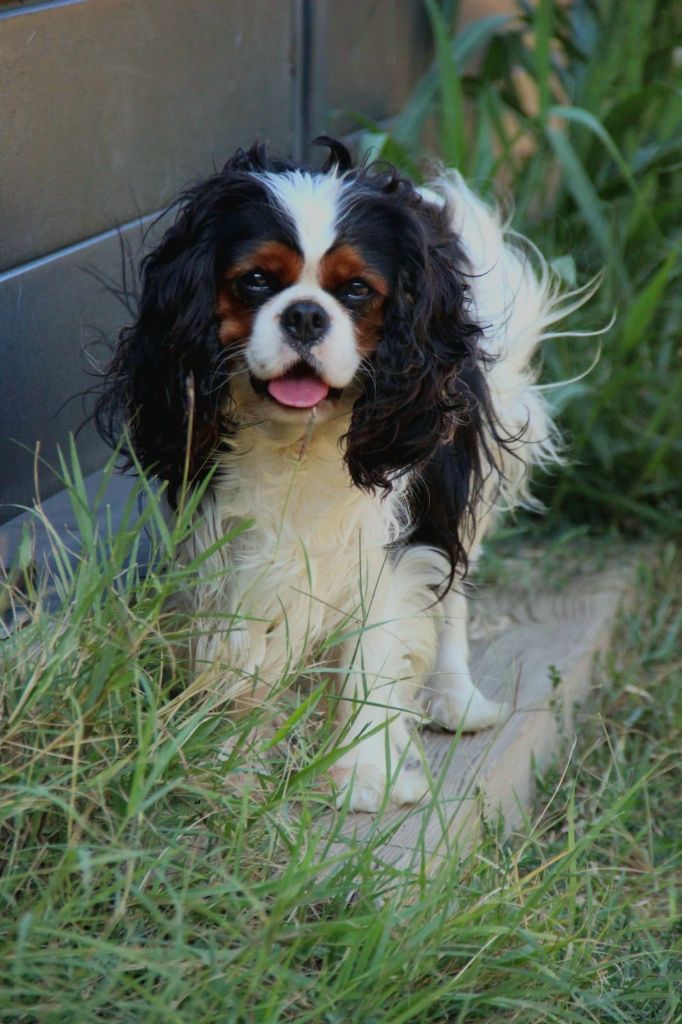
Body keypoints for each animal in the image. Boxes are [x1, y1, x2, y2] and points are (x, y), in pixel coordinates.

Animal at [96, 134, 573, 806]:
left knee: (454, 593)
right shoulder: (233, 536)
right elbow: (242, 643)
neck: (302, 441)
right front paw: (230, 757)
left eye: (355, 291)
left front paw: (365, 773)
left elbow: (372, 655)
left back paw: (457, 701)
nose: (304, 315)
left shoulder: (389, 544)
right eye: (256, 282)